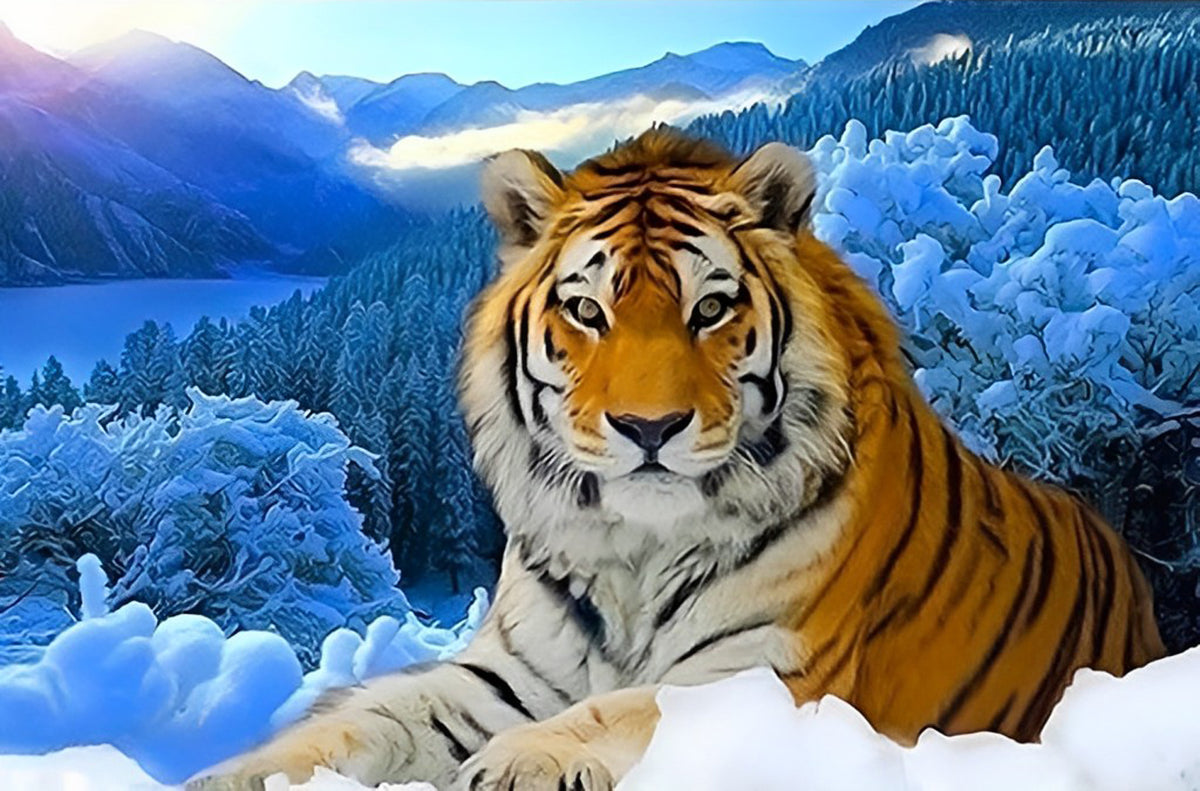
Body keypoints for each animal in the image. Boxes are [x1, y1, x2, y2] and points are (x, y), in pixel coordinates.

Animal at [191, 128, 1165, 791]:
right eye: (587, 311)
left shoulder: (773, 675)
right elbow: (365, 716)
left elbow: (625, 705)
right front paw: (231, 771)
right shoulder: (504, 674)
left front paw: (520, 760)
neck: (635, 550)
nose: (648, 427)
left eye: (711, 309)